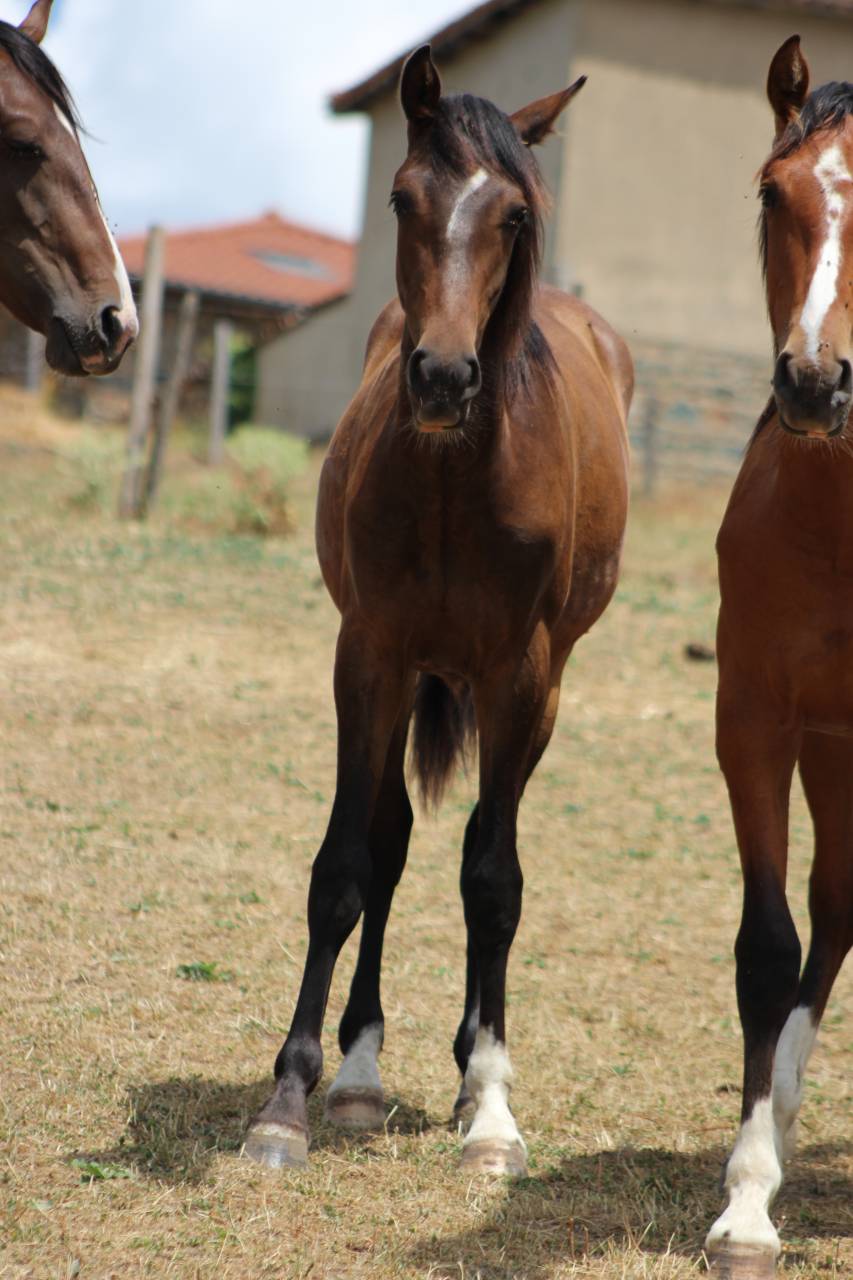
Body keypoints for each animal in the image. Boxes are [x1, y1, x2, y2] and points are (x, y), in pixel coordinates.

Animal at [244, 45, 632, 1176]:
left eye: (512, 213)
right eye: (401, 198)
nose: (445, 376)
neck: (462, 476)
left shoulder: (521, 676)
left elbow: (493, 879)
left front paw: (491, 1106)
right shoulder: (368, 653)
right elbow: (347, 865)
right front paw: (290, 1095)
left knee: (472, 853)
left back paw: (463, 1071)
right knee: (393, 842)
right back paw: (360, 1074)